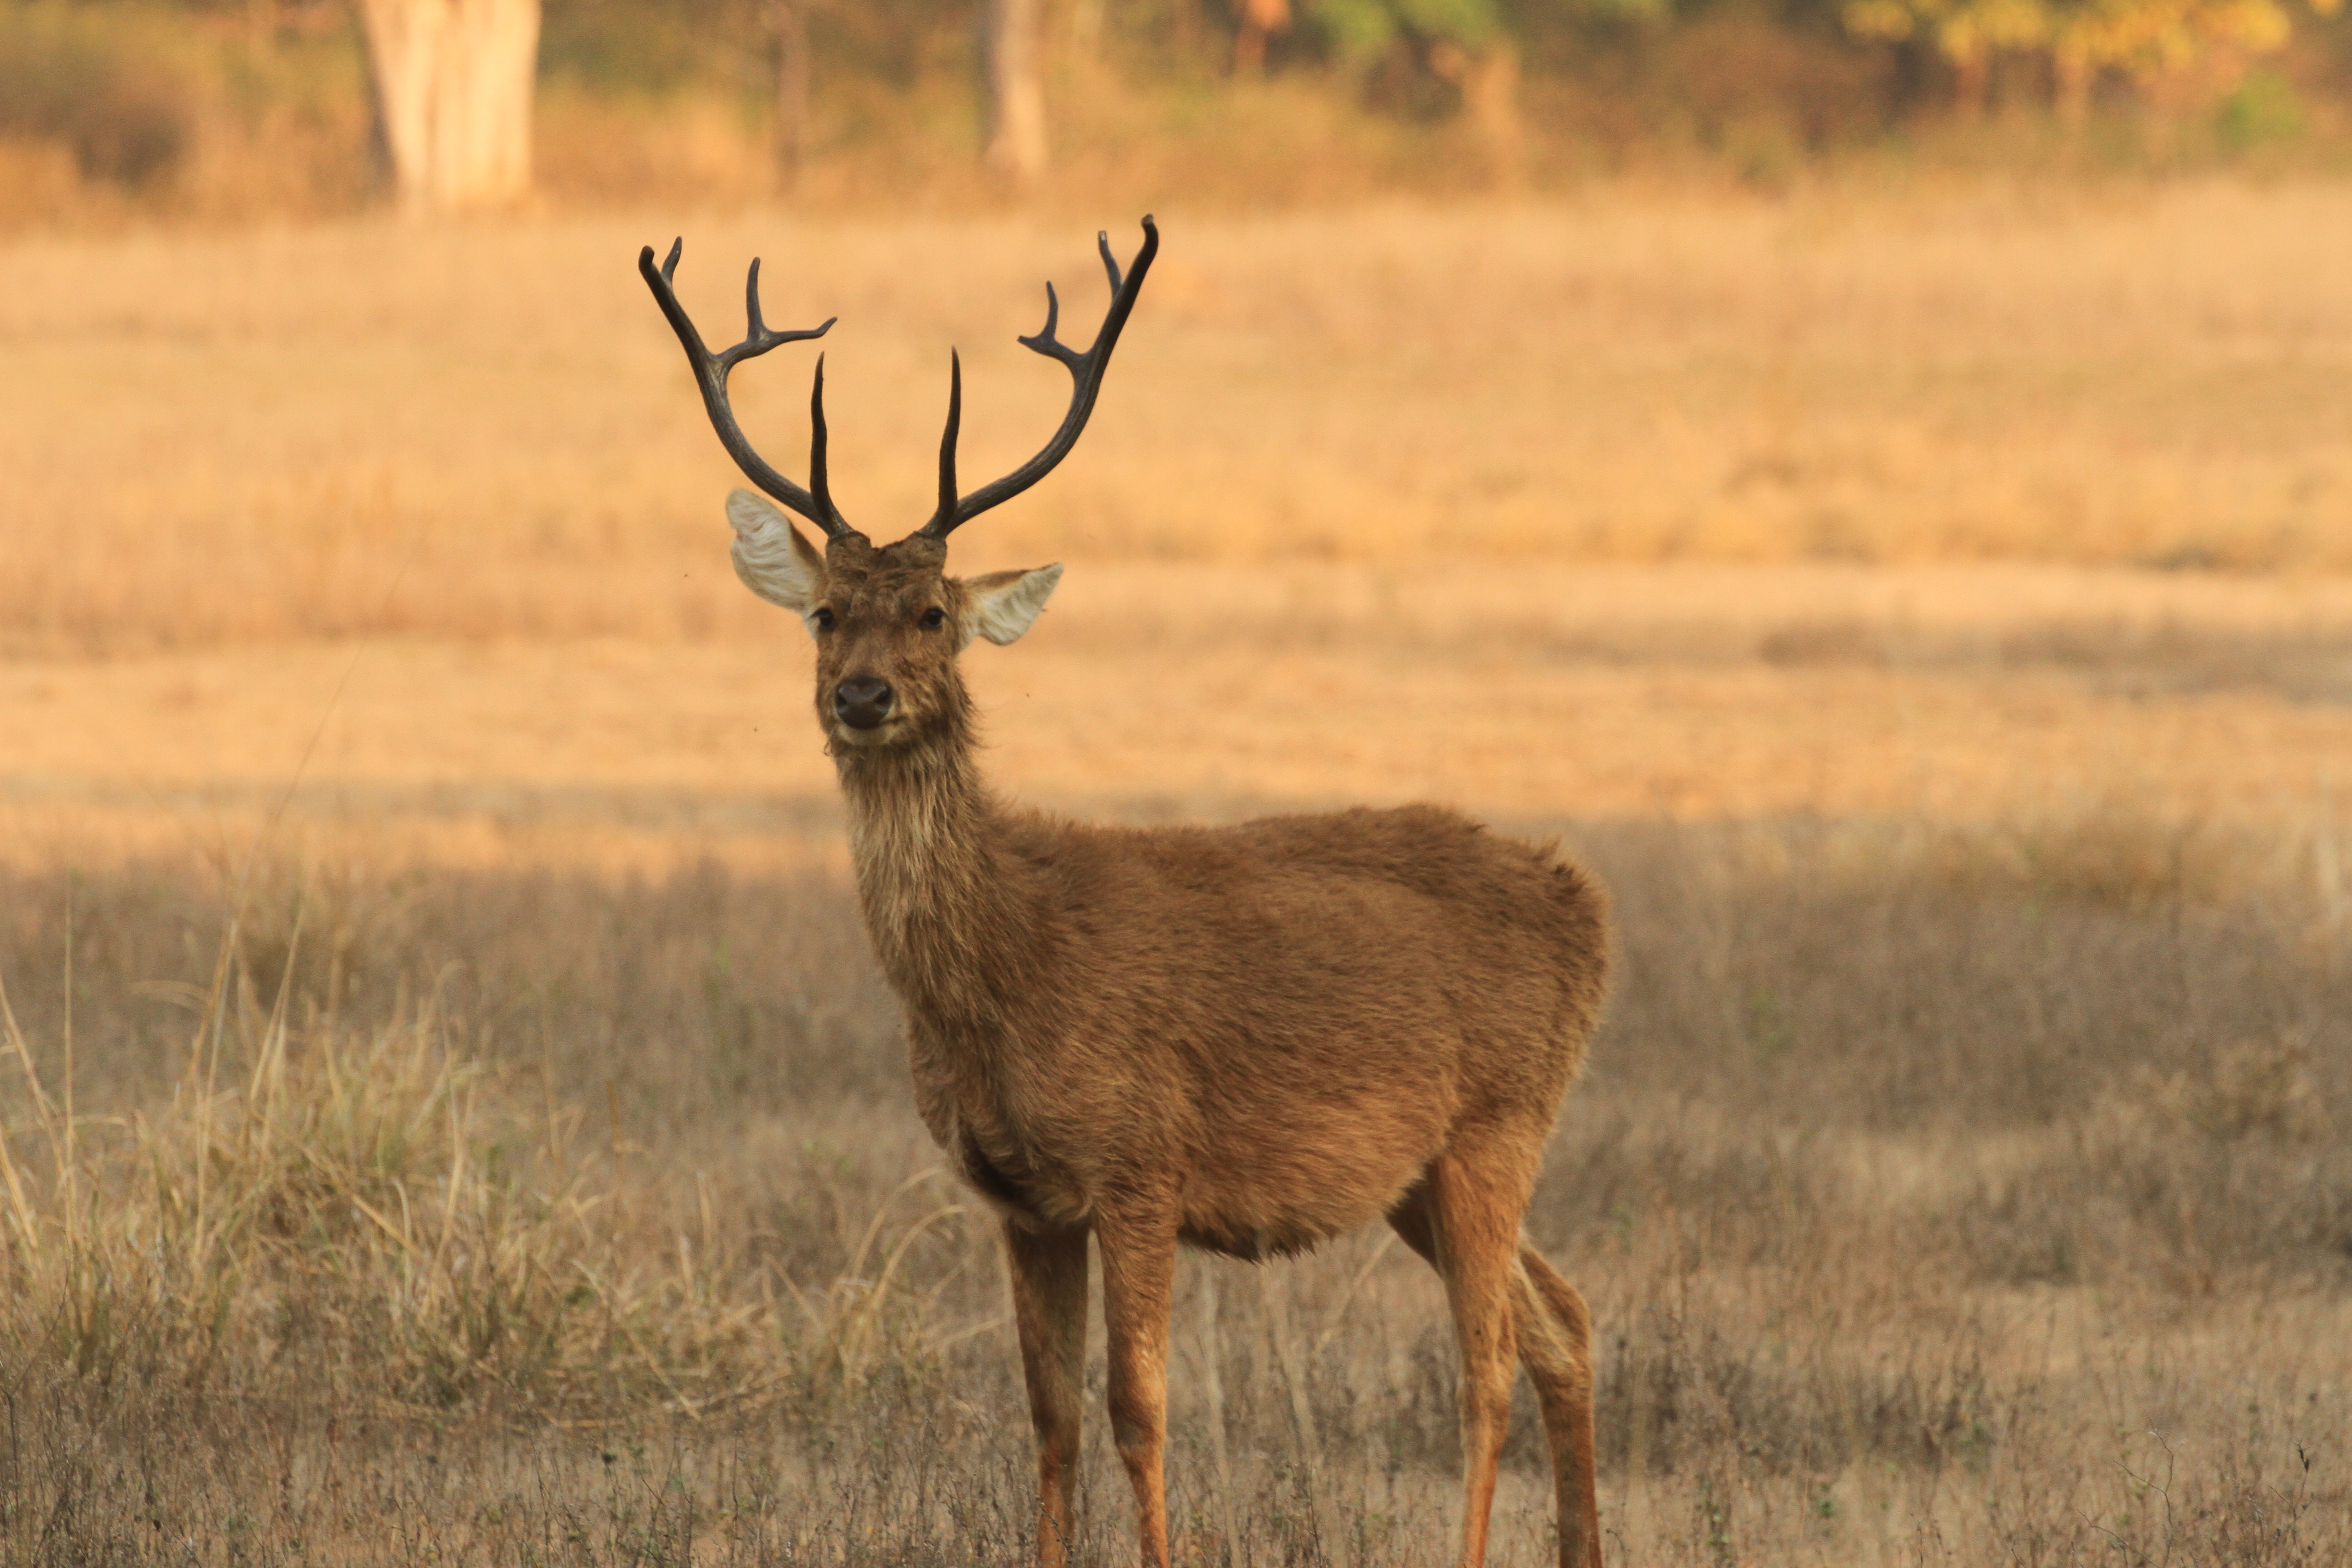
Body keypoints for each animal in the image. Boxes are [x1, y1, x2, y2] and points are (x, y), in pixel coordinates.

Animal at [635, 217, 1608, 1568]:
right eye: (825, 613)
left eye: (930, 612)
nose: (862, 695)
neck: (1012, 967)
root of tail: (1587, 907)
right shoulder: (1018, 1195)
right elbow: (1048, 1416)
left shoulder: (1143, 1161)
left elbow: (1138, 1409)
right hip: (1422, 1171)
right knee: (1567, 1319)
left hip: (1496, 1123)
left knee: (1491, 1364)